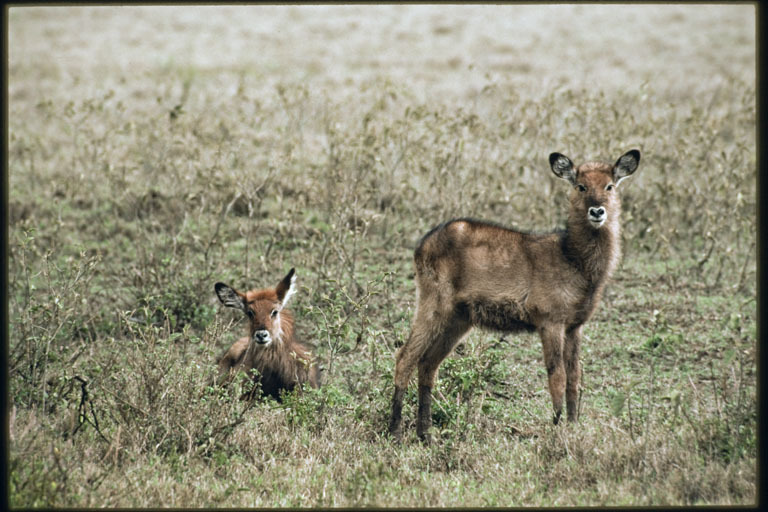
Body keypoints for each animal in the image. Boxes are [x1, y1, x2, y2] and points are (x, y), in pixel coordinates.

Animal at [390, 149, 640, 444]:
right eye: (581, 186)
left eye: (609, 186)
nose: (597, 211)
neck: (573, 259)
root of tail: (423, 243)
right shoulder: (550, 322)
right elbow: (557, 377)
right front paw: (557, 428)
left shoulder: (574, 326)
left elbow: (574, 379)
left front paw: (573, 426)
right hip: (433, 306)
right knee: (405, 358)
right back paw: (395, 432)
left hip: (458, 320)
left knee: (428, 365)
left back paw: (425, 435)